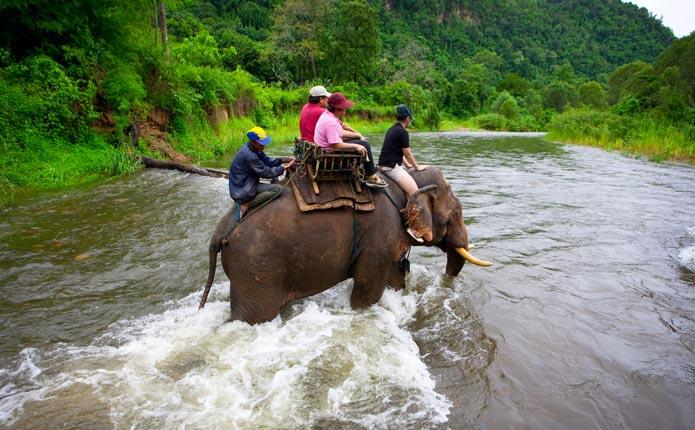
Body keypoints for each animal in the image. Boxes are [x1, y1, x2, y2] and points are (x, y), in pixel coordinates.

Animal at [200, 166, 494, 324]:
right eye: (454, 215)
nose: (446, 284)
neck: (406, 180)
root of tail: (220, 231)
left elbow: (394, 277)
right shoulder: (379, 234)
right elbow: (367, 286)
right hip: (256, 266)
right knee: (252, 315)